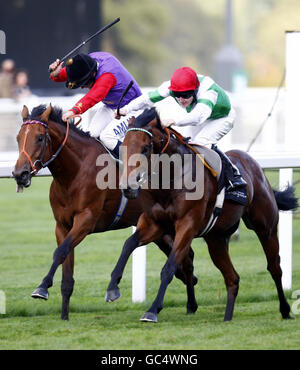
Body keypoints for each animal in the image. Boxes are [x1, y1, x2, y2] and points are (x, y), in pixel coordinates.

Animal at [12, 104, 197, 320]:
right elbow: (66, 268)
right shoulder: (62, 226)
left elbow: (60, 252)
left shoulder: (86, 220)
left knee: (186, 259)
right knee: (185, 259)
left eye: (40, 137)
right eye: (18, 137)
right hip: (161, 229)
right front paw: (64, 316)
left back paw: (189, 303)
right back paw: (190, 300)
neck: (75, 172)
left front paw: (41, 288)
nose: (20, 174)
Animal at [107, 108, 298, 322]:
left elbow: (169, 267)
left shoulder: (187, 225)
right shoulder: (154, 223)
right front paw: (112, 288)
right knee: (233, 278)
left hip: (266, 227)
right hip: (216, 239)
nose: (128, 187)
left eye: (145, 148)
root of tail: (253, 164)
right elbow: (128, 244)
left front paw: (152, 310)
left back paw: (285, 310)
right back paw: (227, 317)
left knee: (274, 267)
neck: (171, 179)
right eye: (122, 148)